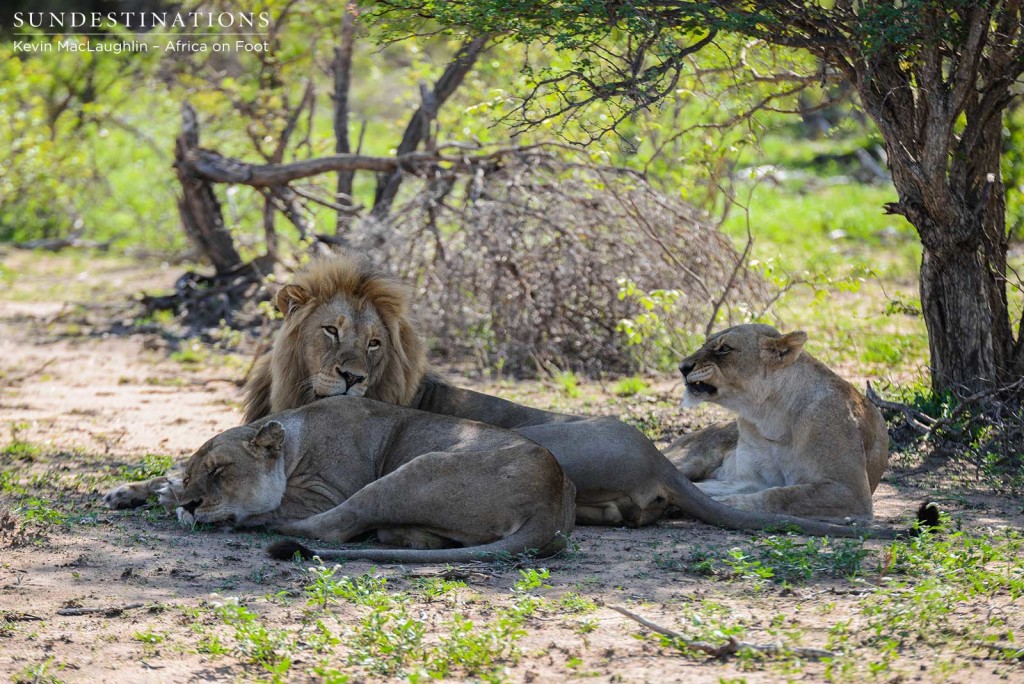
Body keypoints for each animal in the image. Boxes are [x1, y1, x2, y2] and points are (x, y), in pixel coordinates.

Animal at [110, 395, 585, 561]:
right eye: (197, 473)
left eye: (220, 470)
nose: (191, 503)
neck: (295, 439)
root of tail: (553, 494)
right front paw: (141, 490)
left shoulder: (325, 492)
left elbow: (288, 509)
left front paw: (173, 502)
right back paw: (407, 537)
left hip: (412, 471)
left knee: (332, 528)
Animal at [663, 325, 888, 524]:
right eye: (705, 343)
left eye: (725, 348)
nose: (682, 368)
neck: (768, 416)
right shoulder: (750, 479)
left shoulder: (851, 491)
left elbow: (783, 496)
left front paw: (725, 504)